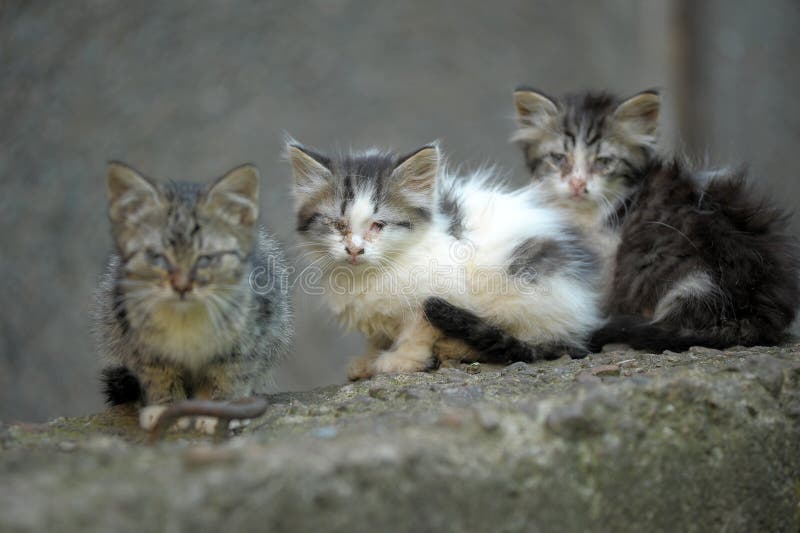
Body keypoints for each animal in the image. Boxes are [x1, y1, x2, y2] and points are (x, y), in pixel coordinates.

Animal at [94, 162, 292, 428]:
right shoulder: (137, 341)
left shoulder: (253, 334)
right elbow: (158, 375)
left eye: (205, 259)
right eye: (158, 258)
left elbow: (232, 376)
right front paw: (164, 408)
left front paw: (221, 410)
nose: (182, 286)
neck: (186, 318)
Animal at [284, 139, 604, 376]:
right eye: (338, 225)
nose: (354, 250)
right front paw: (368, 361)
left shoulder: (436, 292)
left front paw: (401, 361)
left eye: (378, 225)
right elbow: (376, 337)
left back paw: (456, 349)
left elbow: (417, 331)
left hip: (523, 291)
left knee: (528, 343)